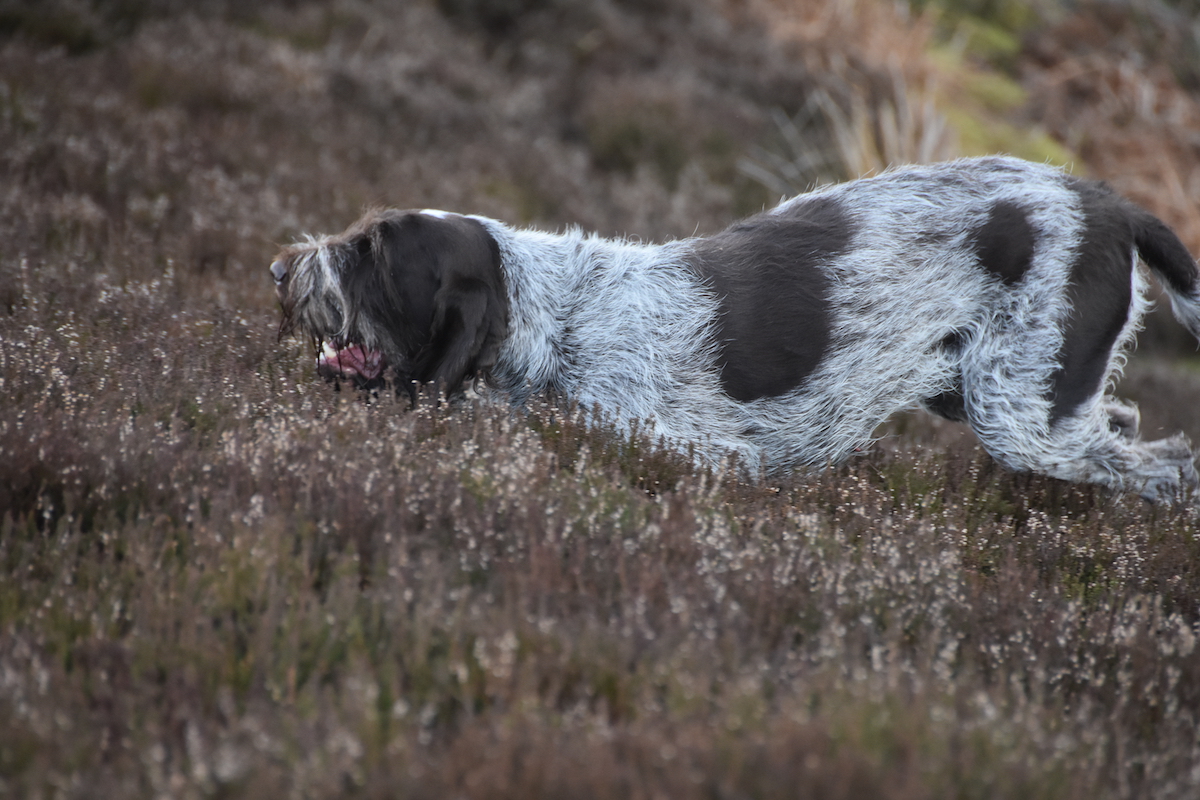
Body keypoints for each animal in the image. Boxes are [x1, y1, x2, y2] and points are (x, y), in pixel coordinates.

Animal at [272, 155, 1200, 501]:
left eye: (372, 251)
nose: (279, 270)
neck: (555, 322)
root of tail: (1115, 208)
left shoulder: (697, 455)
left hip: (1017, 412)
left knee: (1160, 462)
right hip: (984, 392)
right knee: (1120, 429)